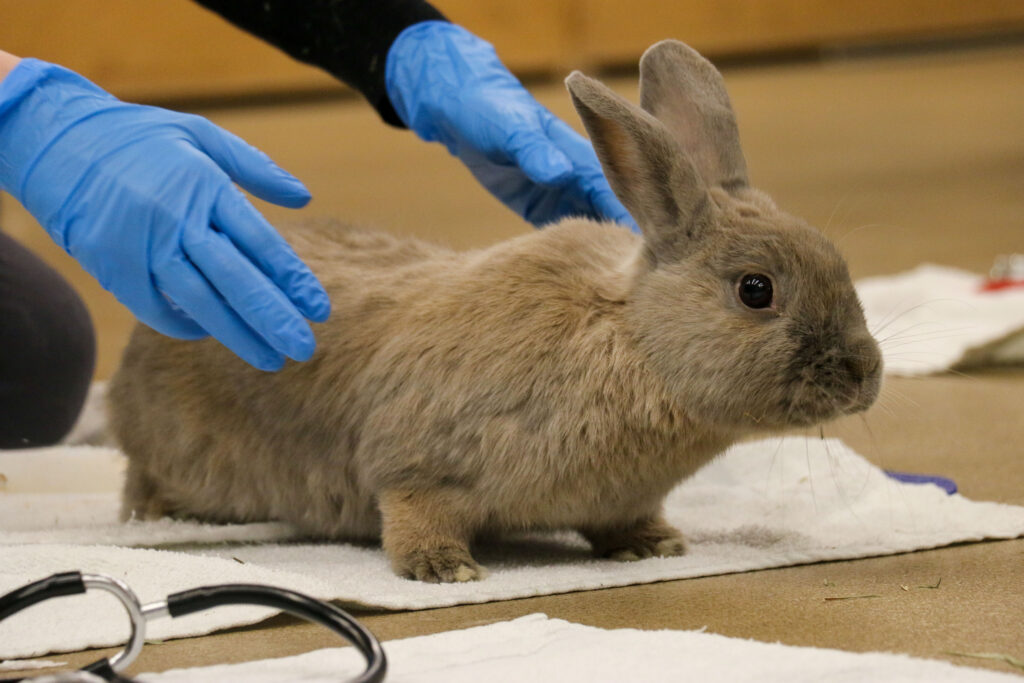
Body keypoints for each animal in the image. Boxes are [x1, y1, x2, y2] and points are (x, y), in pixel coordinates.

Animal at [108, 39, 882, 583]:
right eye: (756, 289)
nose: (864, 374)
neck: (632, 341)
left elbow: (625, 521)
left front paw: (652, 545)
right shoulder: (417, 464)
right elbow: (411, 511)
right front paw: (443, 569)